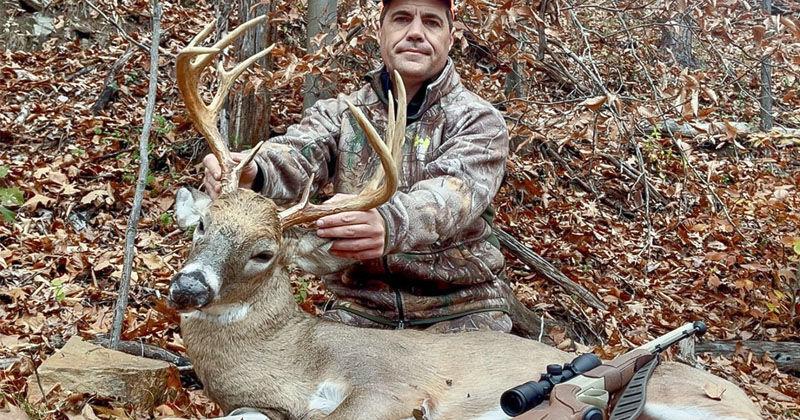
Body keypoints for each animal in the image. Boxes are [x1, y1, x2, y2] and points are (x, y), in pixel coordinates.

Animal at [168, 16, 763, 420]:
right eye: (203, 225)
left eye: (263, 252)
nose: (187, 287)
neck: (298, 362)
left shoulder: (388, 387)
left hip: (698, 401)